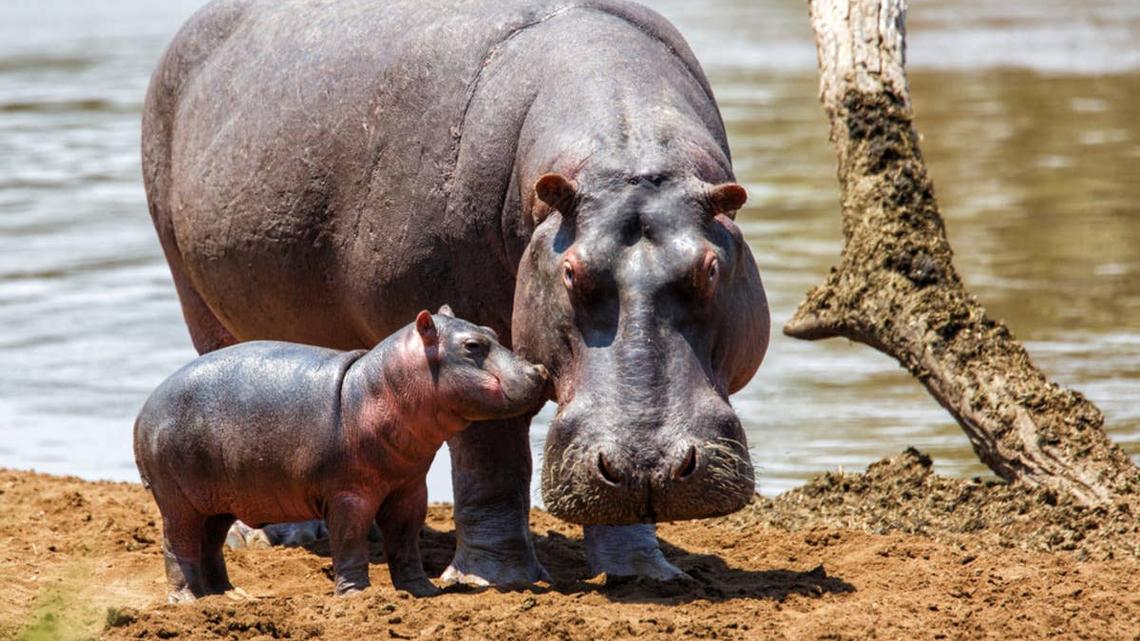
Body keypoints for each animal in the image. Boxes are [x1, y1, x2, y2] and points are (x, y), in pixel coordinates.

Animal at [134, 308, 550, 601]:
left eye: (492, 332)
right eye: (472, 347)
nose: (539, 369)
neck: (376, 387)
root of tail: (143, 412)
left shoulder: (409, 489)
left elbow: (405, 541)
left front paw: (422, 590)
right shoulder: (349, 494)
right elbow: (349, 542)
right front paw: (357, 596)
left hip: (216, 502)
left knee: (211, 545)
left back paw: (228, 595)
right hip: (178, 502)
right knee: (178, 546)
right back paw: (187, 600)